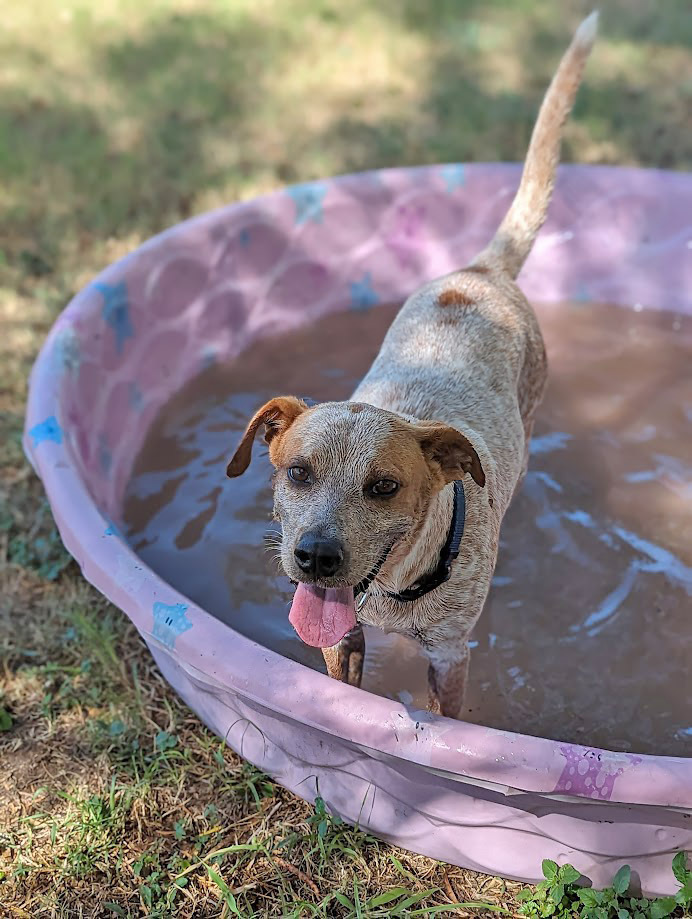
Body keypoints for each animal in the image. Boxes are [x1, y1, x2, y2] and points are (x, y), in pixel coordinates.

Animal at [227, 14, 596, 720]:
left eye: (384, 487)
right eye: (297, 473)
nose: (316, 556)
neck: (391, 588)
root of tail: (482, 270)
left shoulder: (449, 657)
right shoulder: (341, 636)